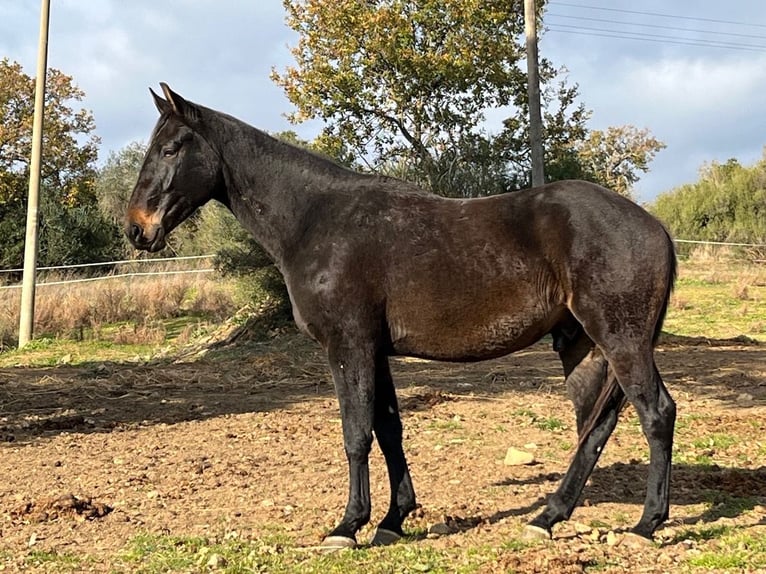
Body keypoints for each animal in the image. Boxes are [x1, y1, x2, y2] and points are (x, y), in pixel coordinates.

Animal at [126, 84, 680, 548]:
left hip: (621, 340)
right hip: (581, 345)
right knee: (597, 425)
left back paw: (646, 525)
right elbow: (388, 430)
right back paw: (549, 516)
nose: (136, 229)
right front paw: (393, 519)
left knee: (656, 413)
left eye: (171, 148)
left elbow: (356, 434)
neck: (315, 220)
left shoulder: (348, 347)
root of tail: (655, 228)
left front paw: (348, 526)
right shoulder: (376, 351)